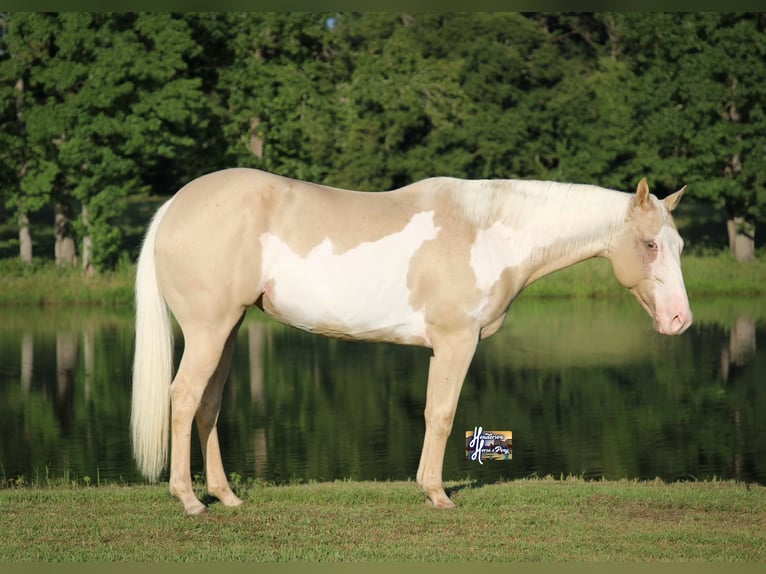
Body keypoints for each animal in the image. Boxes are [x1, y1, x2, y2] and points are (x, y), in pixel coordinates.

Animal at [131, 168, 692, 515]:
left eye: (680, 244)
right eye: (649, 245)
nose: (680, 320)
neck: (489, 232)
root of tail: (175, 205)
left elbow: (432, 412)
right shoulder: (457, 342)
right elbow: (440, 414)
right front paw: (438, 494)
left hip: (227, 331)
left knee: (208, 405)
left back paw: (226, 496)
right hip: (209, 330)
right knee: (184, 398)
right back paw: (190, 501)